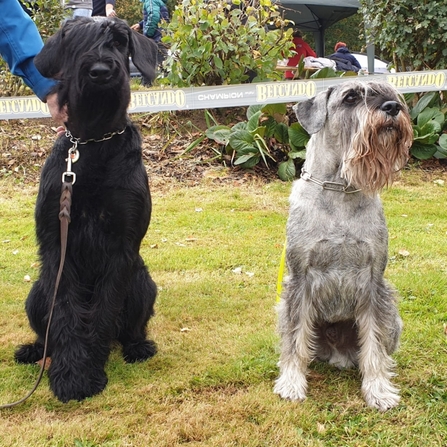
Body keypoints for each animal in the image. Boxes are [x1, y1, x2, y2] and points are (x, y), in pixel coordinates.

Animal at [14, 17, 159, 404]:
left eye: (120, 41)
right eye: (75, 42)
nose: (100, 72)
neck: (93, 142)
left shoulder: (122, 248)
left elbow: (103, 312)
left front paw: (87, 370)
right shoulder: (57, 244)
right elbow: (65, 313)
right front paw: (71, 374)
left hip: (143, 284)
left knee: (131, 328)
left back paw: (138, 347)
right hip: (36, 294)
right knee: (44, 330)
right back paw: (34, 350)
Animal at [274, 81, 414, 412]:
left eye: (391, 92)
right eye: (350, 97)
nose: (392, 107)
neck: (340, 190)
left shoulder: (374, 282)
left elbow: (374, 345)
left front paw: (378, 390)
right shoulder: (299, 280)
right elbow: (295, 340)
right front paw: (291, 383)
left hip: (394, 320)